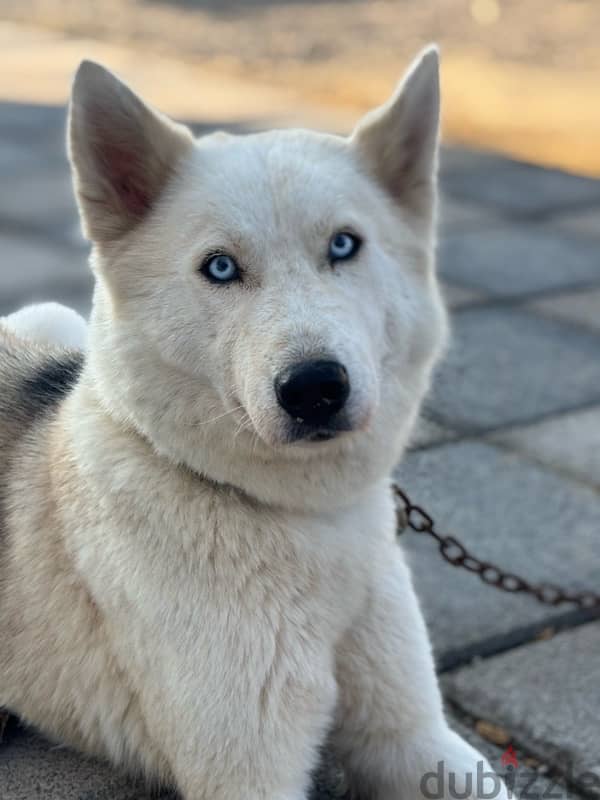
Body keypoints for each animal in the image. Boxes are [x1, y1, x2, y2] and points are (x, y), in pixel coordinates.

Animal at [0, 48, 506, 800]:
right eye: (219, 267)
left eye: (344, 246)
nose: (316, 389)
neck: (301, 521)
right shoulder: (249, 774)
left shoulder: (413, 734)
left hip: (54, 323)